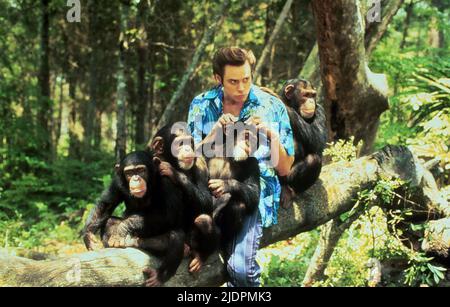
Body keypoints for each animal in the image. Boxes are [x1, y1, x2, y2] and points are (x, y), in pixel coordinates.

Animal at [82, 150, 185, 288]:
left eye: (141, 170)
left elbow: (169, 215)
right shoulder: (116, 182)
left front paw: (122, 228)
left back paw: (158, 276)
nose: (136, 178)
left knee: (176, 236)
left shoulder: (167, 181)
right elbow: (106, 205)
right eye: (129, 173)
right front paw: (89, 237)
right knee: (109, 221)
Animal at [148, 124, 220, 274]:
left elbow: (207, 201)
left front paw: (174, 173)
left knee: (204, 220)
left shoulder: (200, 162)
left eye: (189, 142)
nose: (188, 148)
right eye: (180, 143)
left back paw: (200, 256)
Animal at [203, 121, 260, 256]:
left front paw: (225, 185)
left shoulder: (254, 164)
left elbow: (255, 193)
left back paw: (225, 242)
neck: (229, 156)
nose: (249, 144)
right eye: (246, 135)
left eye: (254, 140)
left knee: (238, 205)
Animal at [278, 78, 326, 206]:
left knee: (313, 160)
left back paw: (290, 190)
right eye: (306, 95)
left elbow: (318, 140)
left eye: (313, 95)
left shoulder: (320, 110)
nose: (311, 101)